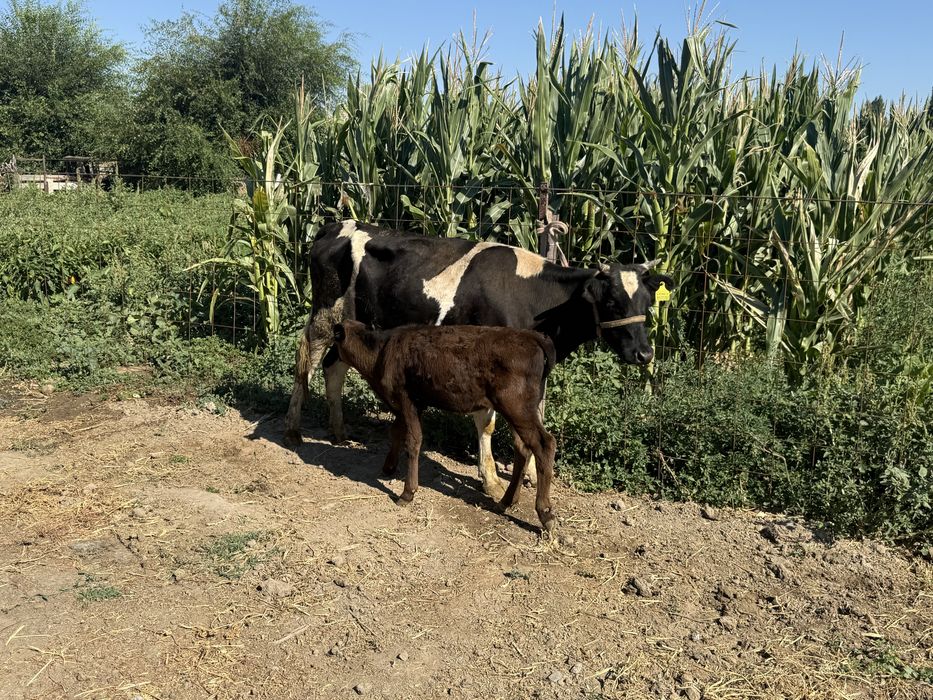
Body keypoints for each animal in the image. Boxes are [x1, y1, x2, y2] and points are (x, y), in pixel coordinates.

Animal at [284, 219, 673, 500]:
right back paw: (293, 429)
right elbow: (486, 424)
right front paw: (491, 481)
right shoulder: (486, 361)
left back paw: (338, 431)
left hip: (346, 325)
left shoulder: (534, 371)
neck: (533, 299)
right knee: (306, 359)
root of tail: (335, 226)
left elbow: (536, 414)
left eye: (647, 301)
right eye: (612, 302)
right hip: (325, 314)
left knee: (334, 367)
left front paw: (530, 475)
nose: (645, 353)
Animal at [332, 321, 559, 531]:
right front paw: (389, 467)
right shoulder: (413, 405)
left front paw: (407, 493)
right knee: (522, 448)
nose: (328, 358)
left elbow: (413, 441)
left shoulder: (407, 399)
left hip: (517, 407)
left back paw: (545, 514)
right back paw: (505, 502)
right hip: (517, 410)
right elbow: (396, 431)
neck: (380, 352)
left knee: (544, 444)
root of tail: (532, 337)